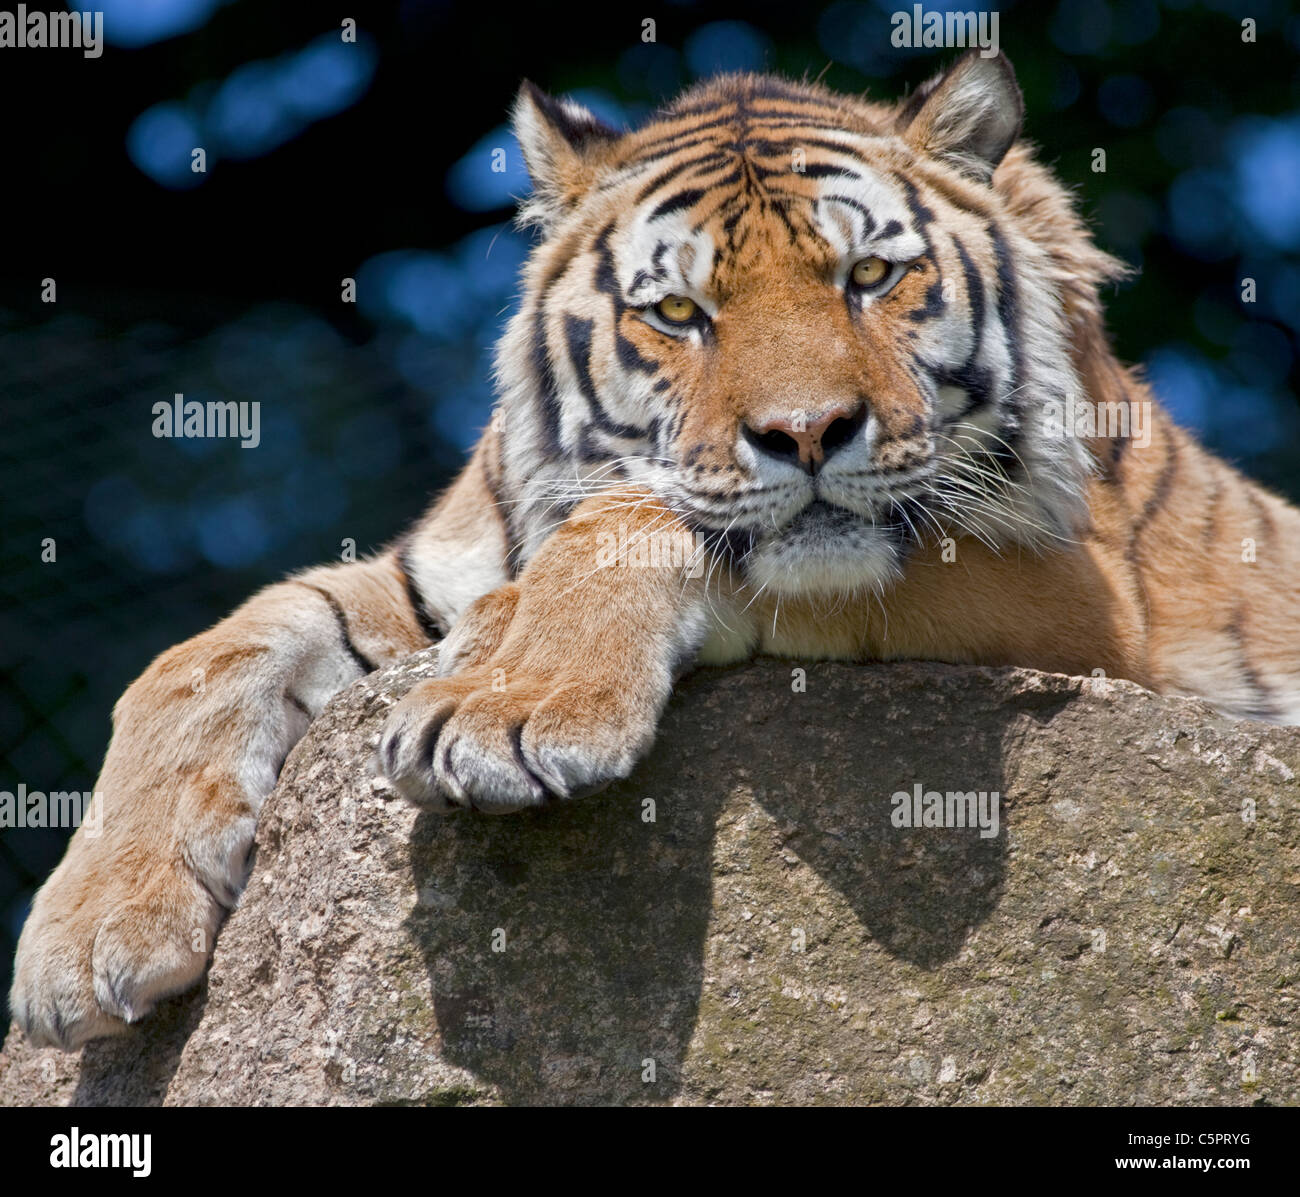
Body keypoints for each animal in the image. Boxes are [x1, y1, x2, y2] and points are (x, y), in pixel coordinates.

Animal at [10, 53, 1300, 1044]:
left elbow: (647, 521)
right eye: (678, 313)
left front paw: (508, 698)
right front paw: (89, 938)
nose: (807, 433)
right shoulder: (433, 563)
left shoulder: (1083, 592)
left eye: (869, 276)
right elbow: (205, 654)